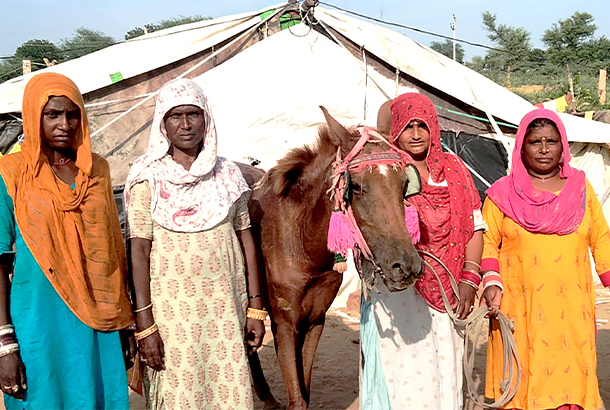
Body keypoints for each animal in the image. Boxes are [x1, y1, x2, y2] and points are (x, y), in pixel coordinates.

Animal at [245, 107, 420, 408]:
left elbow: (304, 389)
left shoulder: (315, 319)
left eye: (405, 183)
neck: (301, 241)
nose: (406, 265)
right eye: (356, 186)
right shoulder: (284, 324)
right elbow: (297, 398)